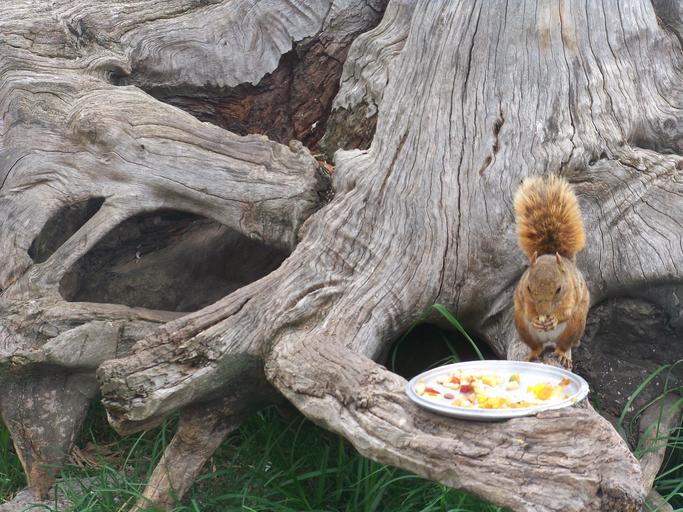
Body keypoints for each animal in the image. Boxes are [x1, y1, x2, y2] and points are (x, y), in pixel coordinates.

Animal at [512, 174, 590, 368]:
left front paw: (554, 318)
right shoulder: (523, 296)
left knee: (563, 344)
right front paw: (535, 318)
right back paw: (532, 354)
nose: (544, 312)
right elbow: (528, 309)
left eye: (559, 289)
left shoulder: (571, 294)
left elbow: (566, 311)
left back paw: (562, 354)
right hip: (523, 327)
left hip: (574, 326)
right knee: (536, 347)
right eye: (529, 288)